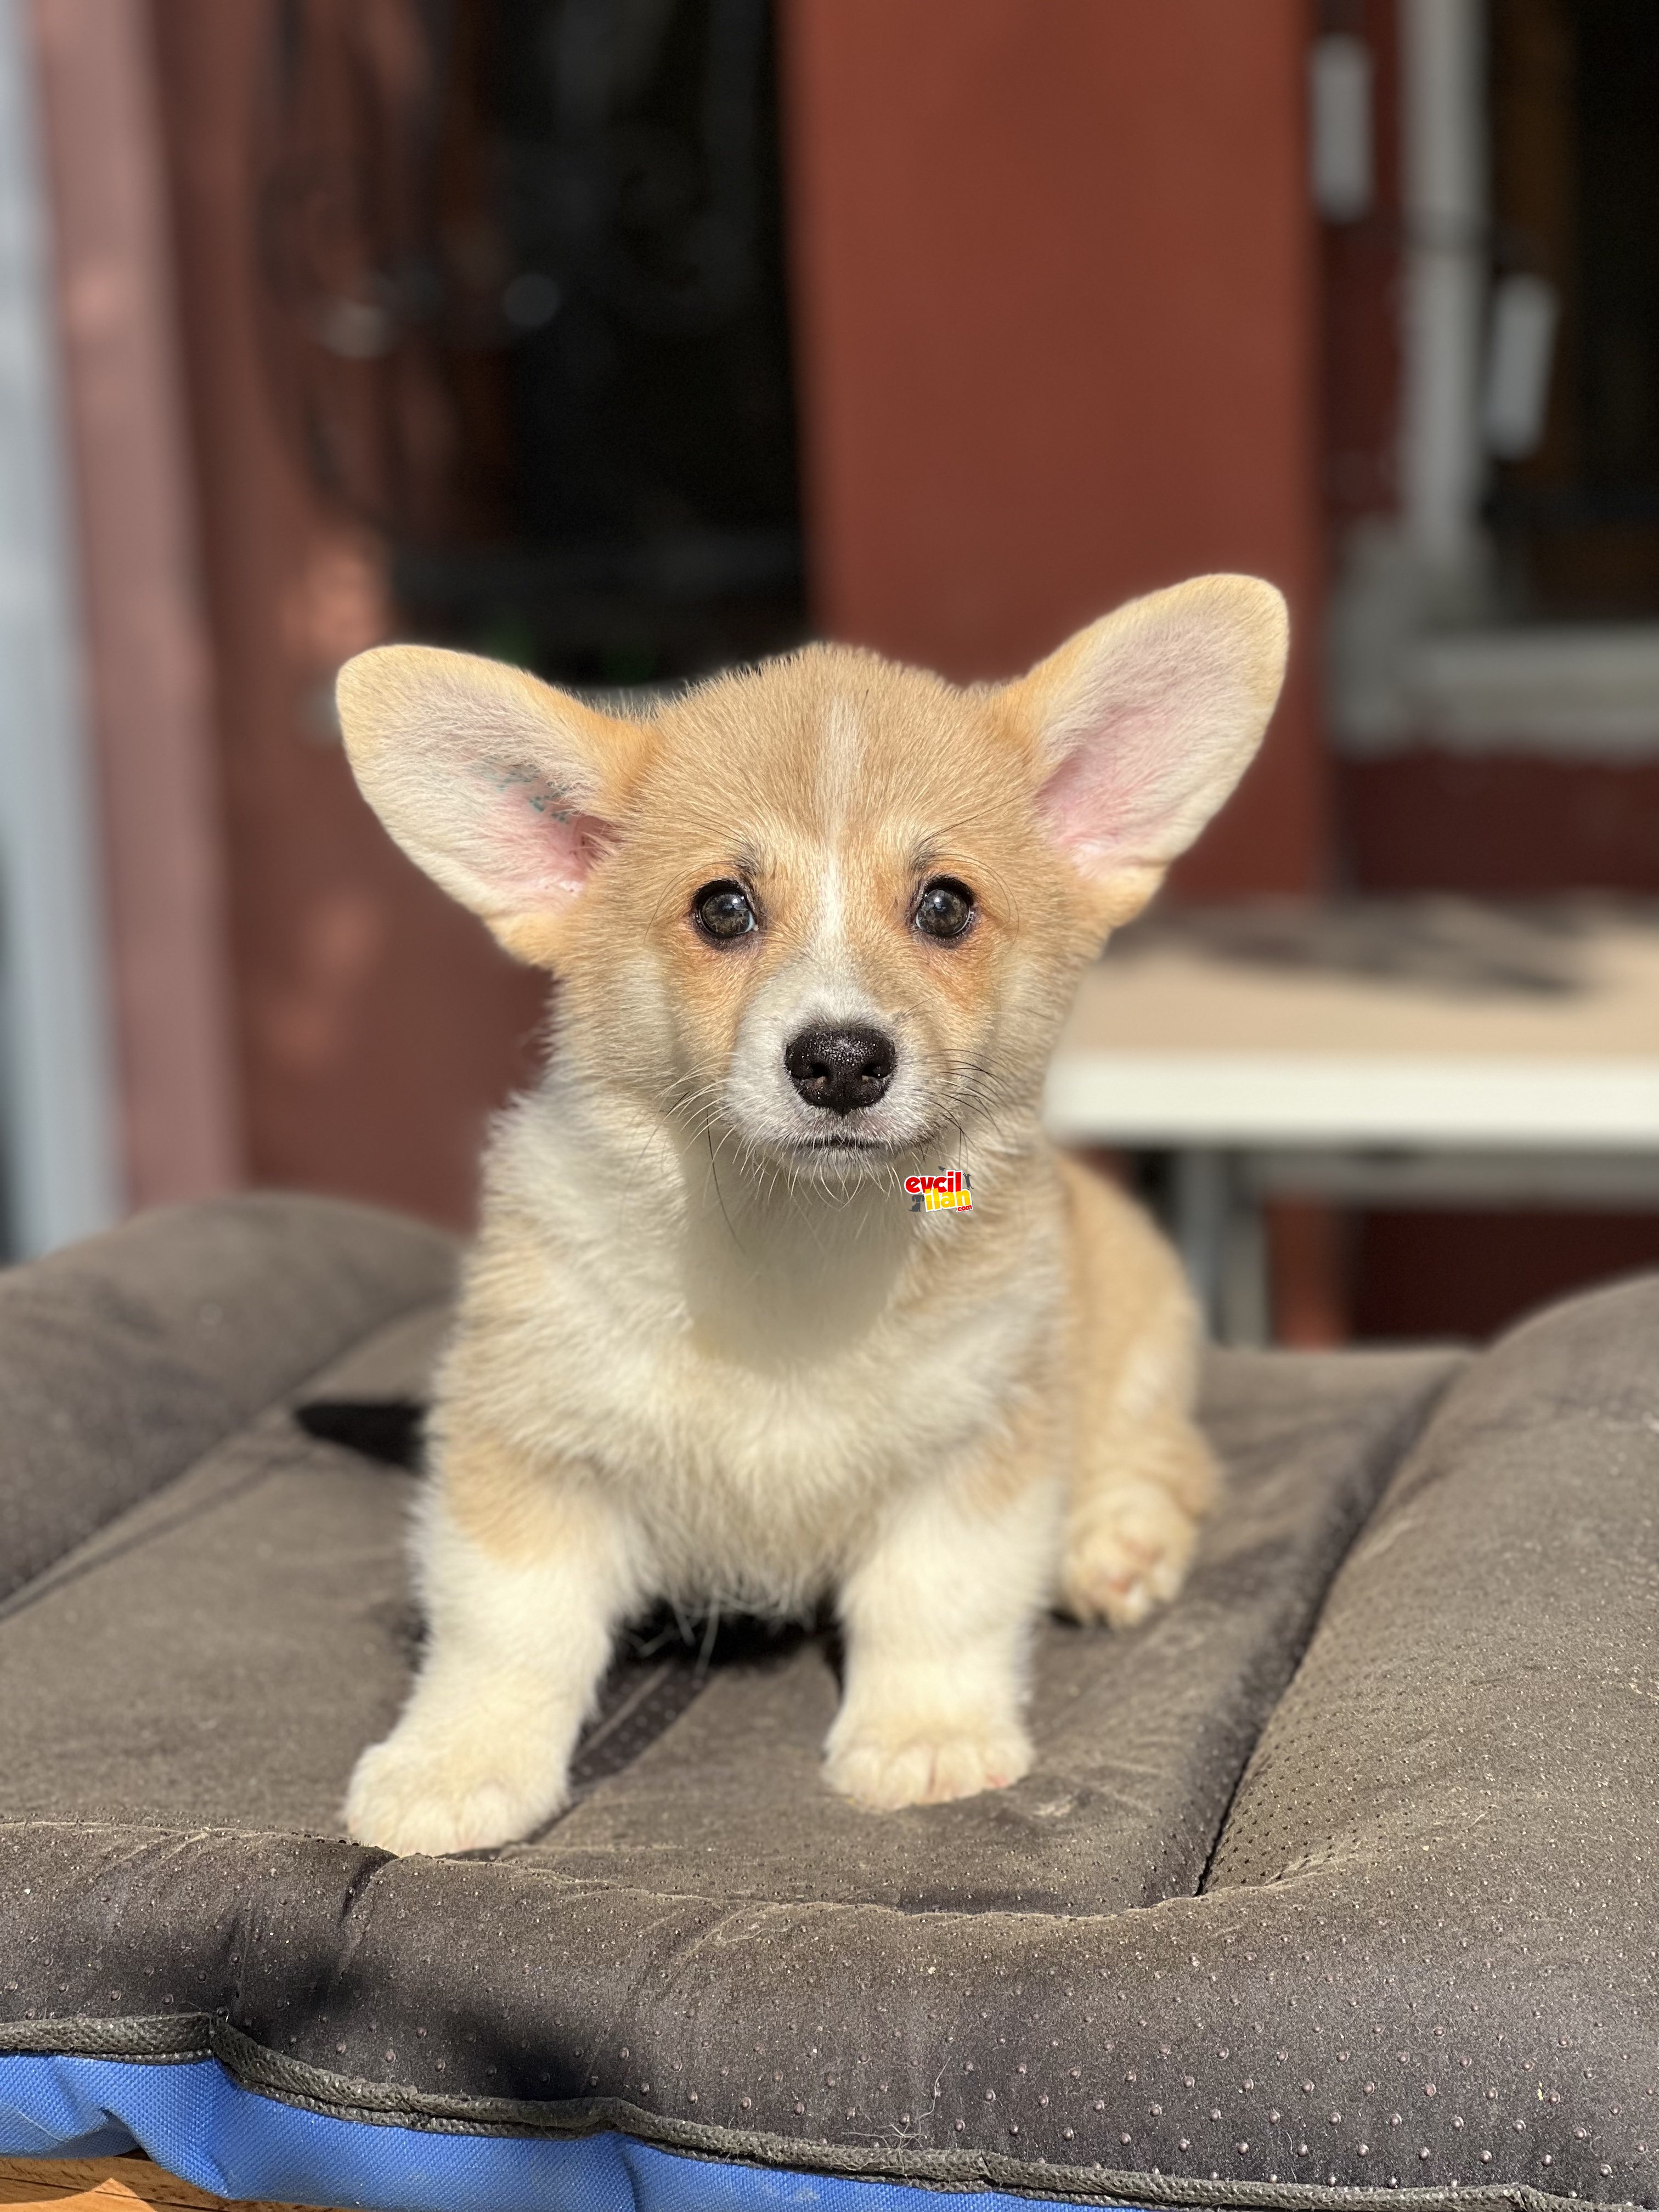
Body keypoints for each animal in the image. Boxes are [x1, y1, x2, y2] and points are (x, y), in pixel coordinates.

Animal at [338, 575, 1291, 1849]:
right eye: (722, 908)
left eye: (944, 905)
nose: (840, 1060)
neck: (796, 1237)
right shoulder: (529, 1438)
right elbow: (507, 1626)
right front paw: (454, 1770)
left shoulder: (975, 1440)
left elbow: (938, 1597)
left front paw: (926, 1742)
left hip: (1137, 1340)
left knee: (1159, 1455)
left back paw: (1109, 1545)